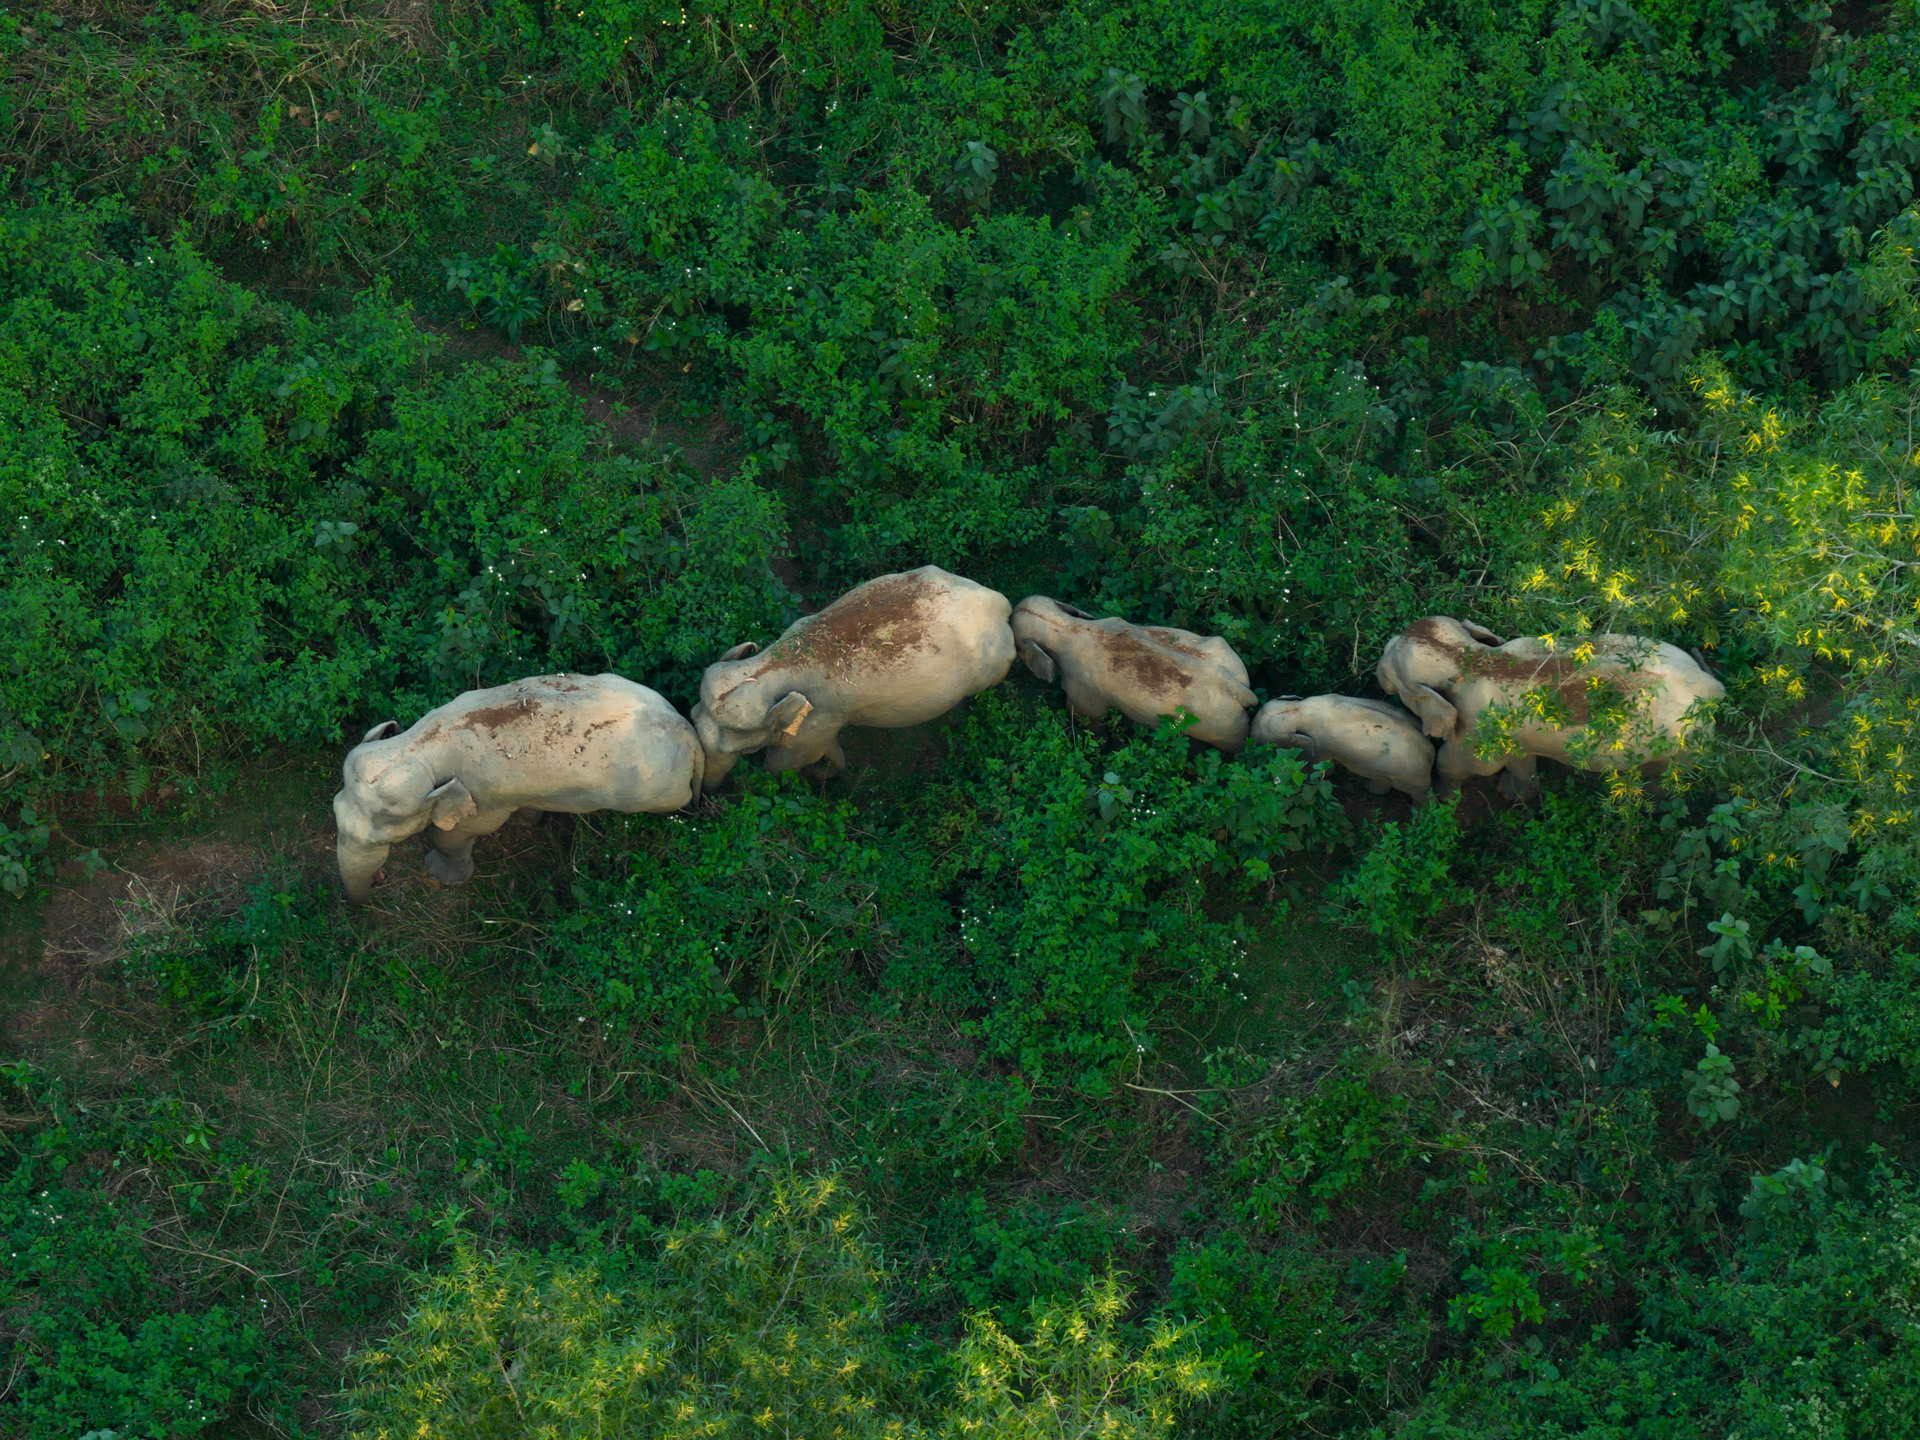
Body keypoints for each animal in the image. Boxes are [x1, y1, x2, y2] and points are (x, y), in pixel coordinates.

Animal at [333, 673, 701, 905]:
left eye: (387, 840)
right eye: (334, 808)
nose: (373, 891)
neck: (422, 746)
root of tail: (689, 733)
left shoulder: (482, 798)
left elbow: (454, 834)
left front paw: (441, 877)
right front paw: (528, 818)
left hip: (658, 791)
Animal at [691, 565, 1015, 785]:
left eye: (735, 749)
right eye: (692, 716)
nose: (709, 797)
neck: (772, 667)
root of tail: (1000, 602)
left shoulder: (815, 724)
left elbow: (784, 765)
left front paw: (810, 774)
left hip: (994, 667)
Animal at [1010, 596, 1257, 751]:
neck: (1065, 627)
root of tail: (1241, 691)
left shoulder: (1082, 691)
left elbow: (1089, 721)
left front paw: (1099, 749)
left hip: (1224, 728)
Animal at [1375, 616, 1726, 799]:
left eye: (1391, 672)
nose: (1375, 669)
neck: (1470, 658)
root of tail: (1712, 686)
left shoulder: (1481, 728)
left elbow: (1459, 763)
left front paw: (1447, 799)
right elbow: (1521, 761)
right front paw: (1514, 794)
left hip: (1686, 746)